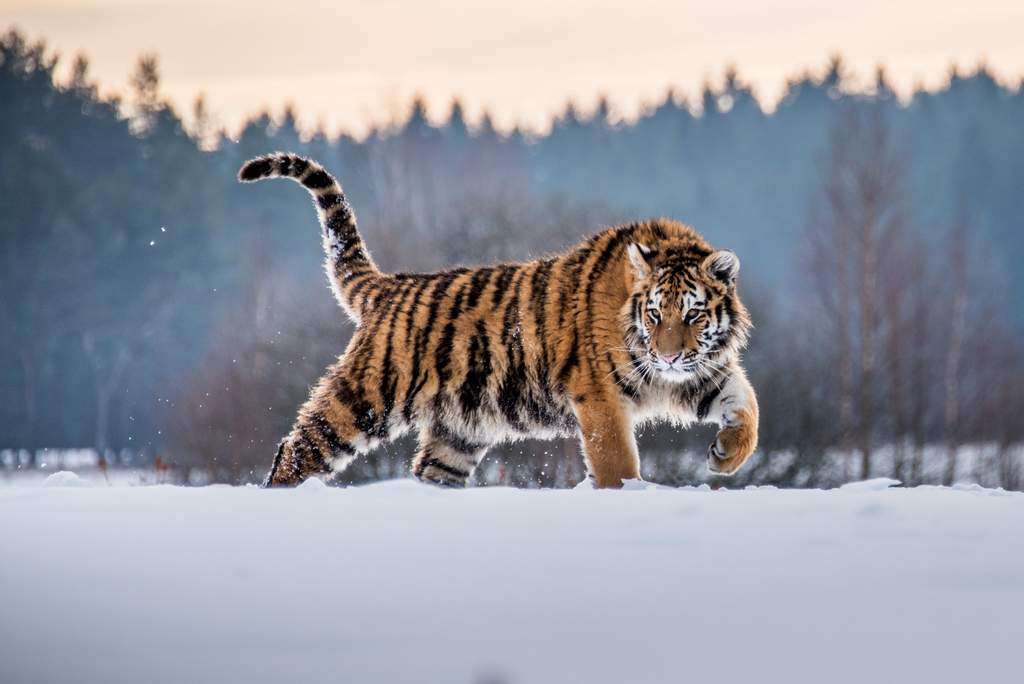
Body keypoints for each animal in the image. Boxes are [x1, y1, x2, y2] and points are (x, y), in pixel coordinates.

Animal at [235, 152, 757, 489]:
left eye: (693, 314)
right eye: (654, 313)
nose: (667, 356)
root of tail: (390, 286)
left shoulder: (701, 370)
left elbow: (746, 405)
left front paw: (726, 456)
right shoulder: (600, 395)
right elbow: (617, 461)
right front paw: (626, 495)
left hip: (459, 433)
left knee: (428, 471)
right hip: (363, 398)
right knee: (296, 450)